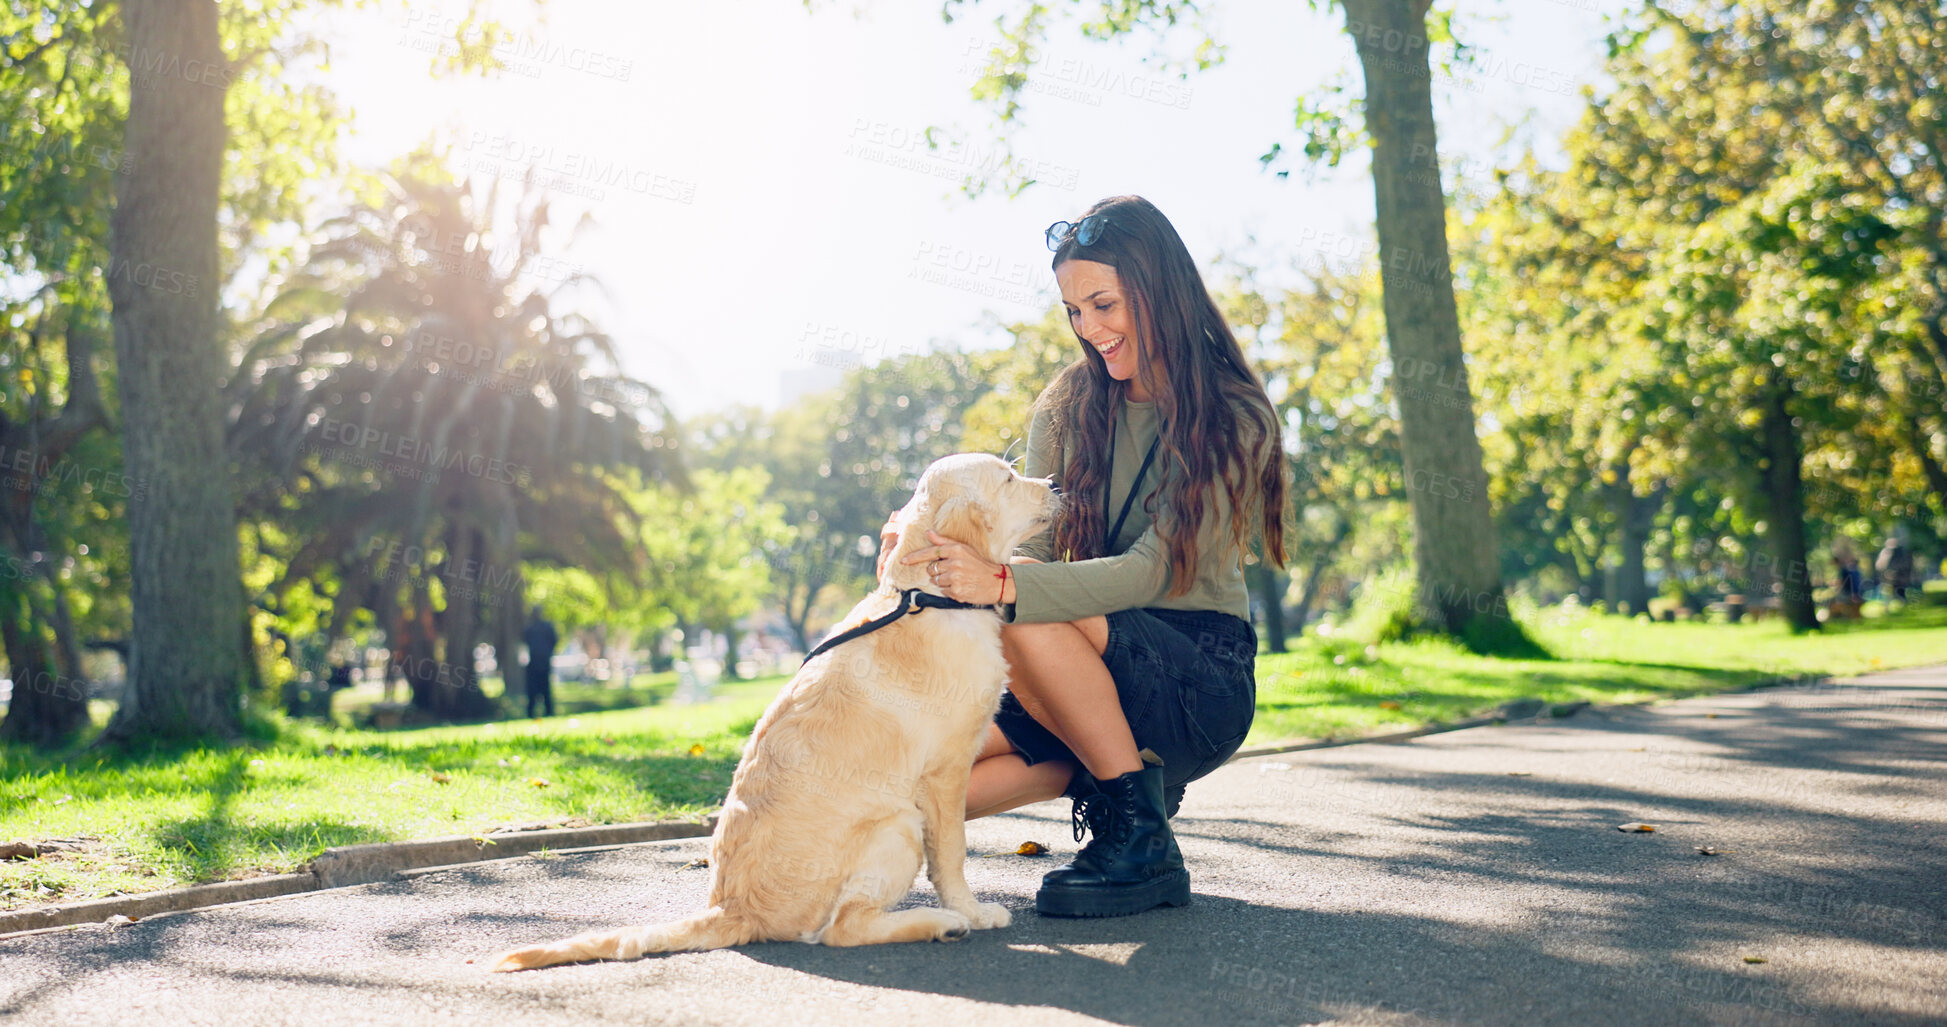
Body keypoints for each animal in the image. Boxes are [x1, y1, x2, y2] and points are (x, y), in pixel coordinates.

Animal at [494, 452, 1059, 974]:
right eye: (1008, 478)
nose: (1055, 484)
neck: (931, 596)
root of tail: (732, 910)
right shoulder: (944, 772)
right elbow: (952, 853)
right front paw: (974, 911)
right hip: (899, 823)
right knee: (844, 930)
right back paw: (941, 922)